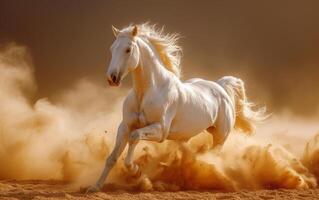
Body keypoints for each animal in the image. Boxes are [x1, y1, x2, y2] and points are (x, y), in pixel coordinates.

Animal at [87, 23, 264, 192]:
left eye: (128, 49)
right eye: (112, 49)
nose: (112, 78)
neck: (147, 93)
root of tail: (221, 87)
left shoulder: (160, 130)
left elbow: (135, 137)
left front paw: (136, 171)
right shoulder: (125, 126)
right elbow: (112, 158)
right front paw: (94, 187)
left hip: (220, 137)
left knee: (213, 157)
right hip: (184, 138)